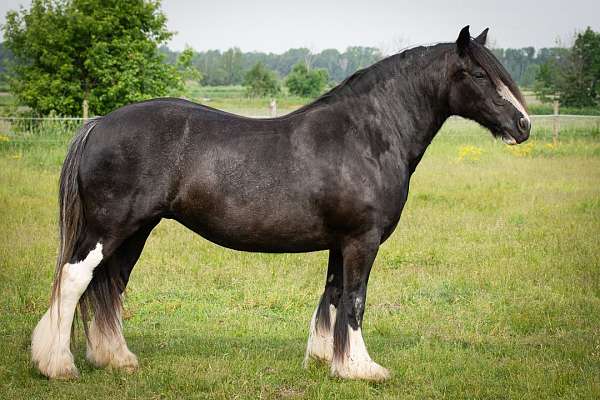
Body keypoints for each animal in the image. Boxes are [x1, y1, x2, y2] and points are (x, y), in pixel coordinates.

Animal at [32, 26, 528, 380]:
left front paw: (327, 359)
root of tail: (99, 123)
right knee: (75, 280)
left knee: (110, 285)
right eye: (480, 75)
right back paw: (57, 365)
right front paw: (363, 368)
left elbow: (333, 295)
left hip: (136, 231)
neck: (367, 136)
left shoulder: (340, 242)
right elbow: (356, 300)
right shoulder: (362, 240)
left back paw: (115, 358)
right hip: (108, 228)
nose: (523, 126)